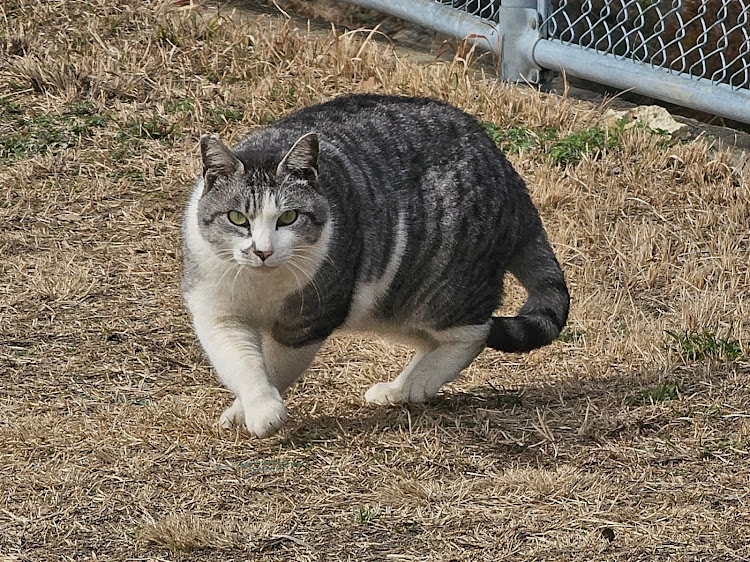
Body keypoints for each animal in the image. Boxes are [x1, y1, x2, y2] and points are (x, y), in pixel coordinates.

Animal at [182, 94, 568, 436]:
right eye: (237, 218)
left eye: (288, 218)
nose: (263, 251)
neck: (261, 284)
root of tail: (507, 172)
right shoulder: (216, 310)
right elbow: (242, 362)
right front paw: (252, 407)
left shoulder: (311, 318)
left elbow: (276, 366)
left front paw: (260, 413)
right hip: (387, 306)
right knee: (431, 340)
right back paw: (400, 389)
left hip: (435, 288)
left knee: (476, 332)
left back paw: (417, 384)